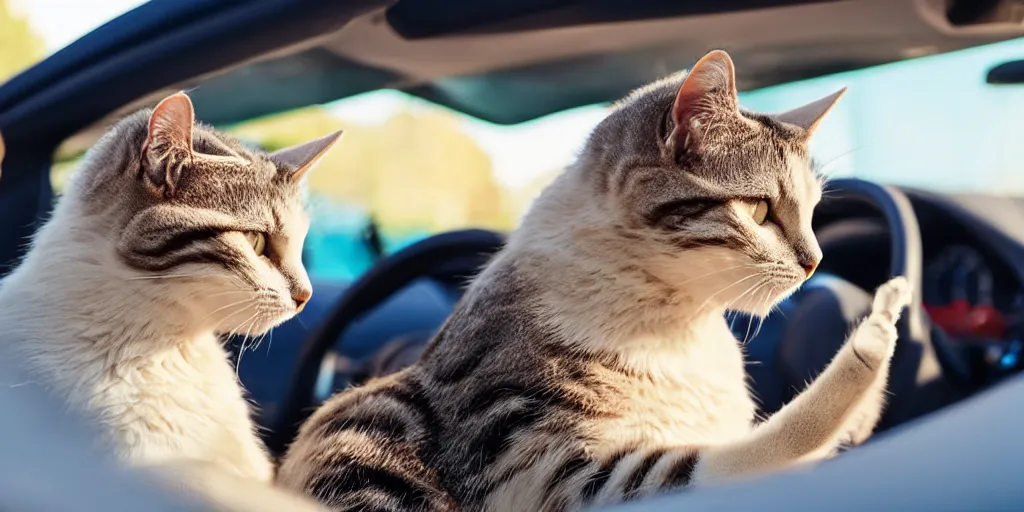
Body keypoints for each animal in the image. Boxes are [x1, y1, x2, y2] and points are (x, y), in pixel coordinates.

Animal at [274, 50, 913, 512]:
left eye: (813, 212)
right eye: (759, 211)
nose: (815, 261)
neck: (680, 322)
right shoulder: (542, 464)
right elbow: (734, 456)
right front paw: (874, 336)